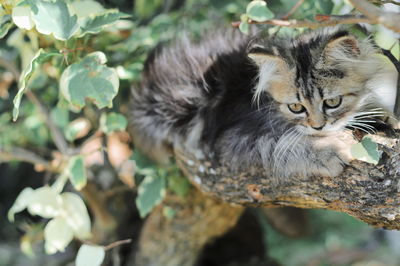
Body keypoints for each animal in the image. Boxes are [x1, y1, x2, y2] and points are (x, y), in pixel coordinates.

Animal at [130, 27, 398, 181]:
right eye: (296, 107)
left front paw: (377, 116)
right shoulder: (236, 135)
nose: (318, 127)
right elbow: (280, 143)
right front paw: (328, 151)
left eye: (332, 102)